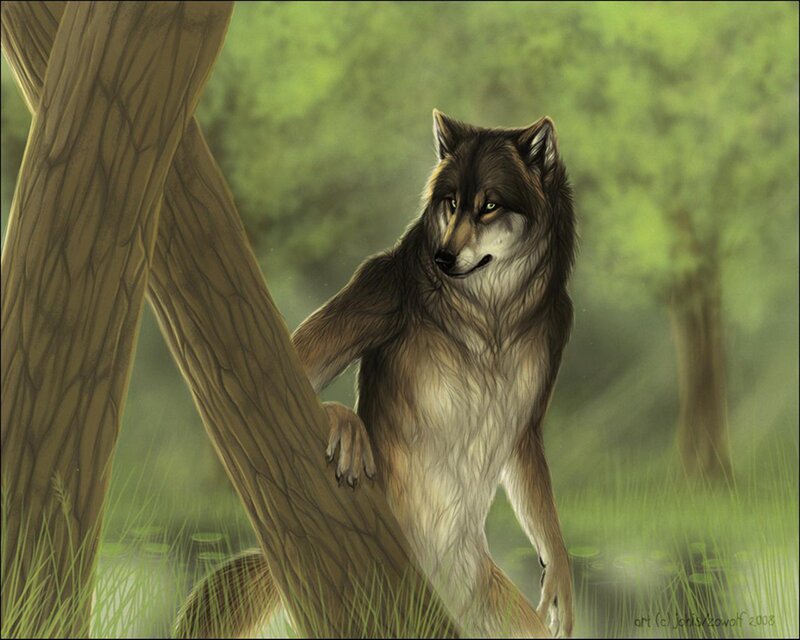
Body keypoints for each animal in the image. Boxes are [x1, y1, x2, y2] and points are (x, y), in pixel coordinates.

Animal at [176, 111, 577, 638]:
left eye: (489, 205)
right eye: (452, 203)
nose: (442, 258)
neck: (491, 316)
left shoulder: (536, 396)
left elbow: (540, 500)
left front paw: (560, 577)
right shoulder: (378, 287)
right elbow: (295, 364)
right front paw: (343, 422)